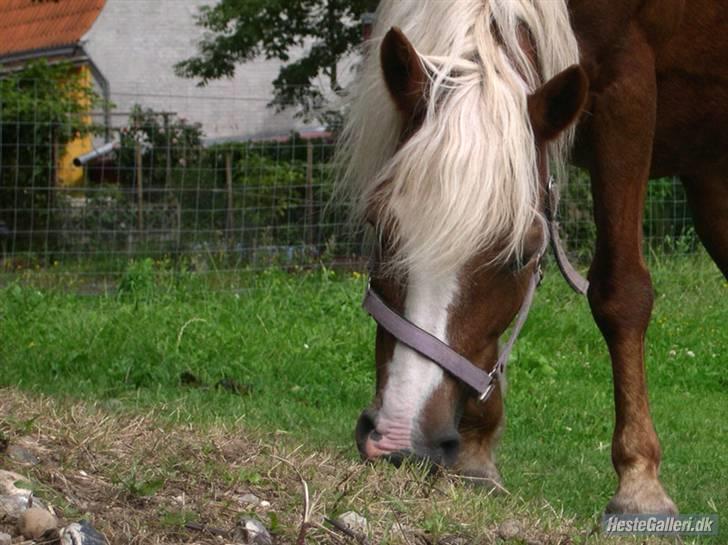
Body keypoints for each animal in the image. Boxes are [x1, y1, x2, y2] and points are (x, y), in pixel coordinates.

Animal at [336, 0, 728, 516]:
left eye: (521, 256)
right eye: (379, 226)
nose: (401, 438)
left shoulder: (627, 89)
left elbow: (621, 292)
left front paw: (639, 483)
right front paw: (477, 454)